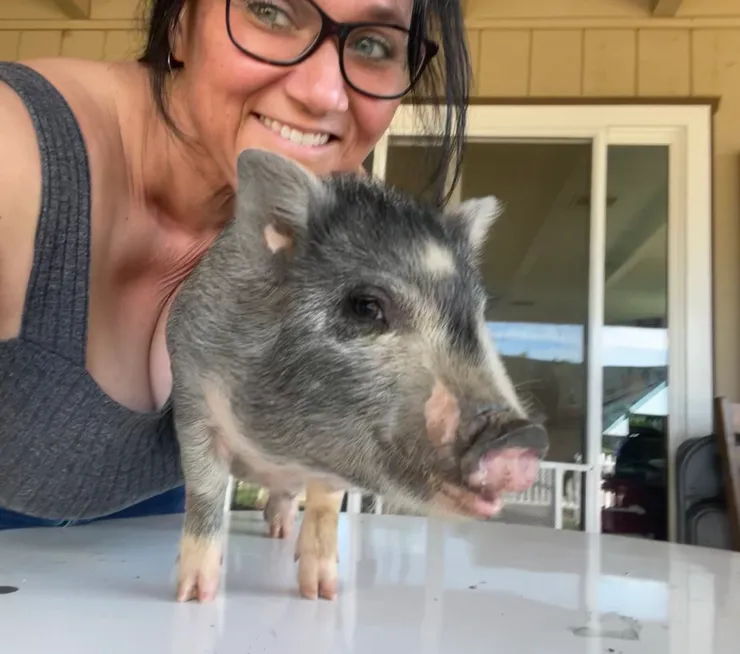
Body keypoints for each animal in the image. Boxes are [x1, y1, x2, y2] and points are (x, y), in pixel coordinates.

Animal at [165, 148, 548, 604]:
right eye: (366, 306)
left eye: (478, 316)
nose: (522, 434)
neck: (281, 450)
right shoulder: (192, 399)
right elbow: (205, 493)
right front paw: (192, 597)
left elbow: (325, 506)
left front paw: (322, 595)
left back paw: (281, 533)